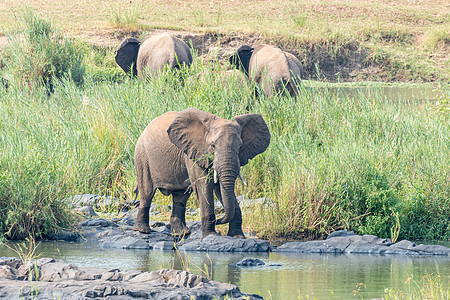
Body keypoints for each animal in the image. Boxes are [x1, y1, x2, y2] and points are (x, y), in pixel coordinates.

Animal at [132, 108, 268, 239]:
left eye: (240, 147)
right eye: (213, 145)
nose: (218, 221)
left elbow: (220, 188)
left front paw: (238, 236)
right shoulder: (194, 152)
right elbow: (204, 186)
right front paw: (211, 236)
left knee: (180, 197)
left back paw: (181, 234)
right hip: (142, 157)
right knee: (147, 192)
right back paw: (142, 230)